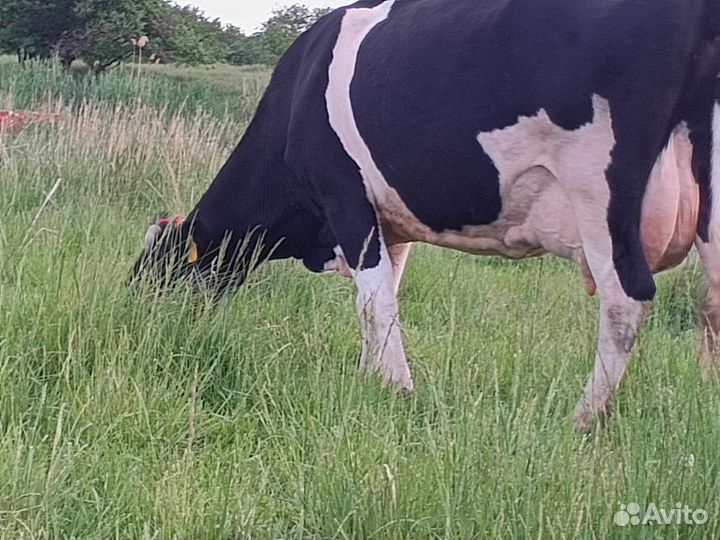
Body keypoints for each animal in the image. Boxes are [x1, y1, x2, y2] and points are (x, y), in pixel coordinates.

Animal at [133, 0, 720, 432]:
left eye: (157, 268)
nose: (137, 318)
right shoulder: (389, 223)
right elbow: (383, 297)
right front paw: (371, 376)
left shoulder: (345, 197)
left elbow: (375, 301)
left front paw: (396, 388)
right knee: (711, 301)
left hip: (598, 190)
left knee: (627, 298)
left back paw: (582, 417)